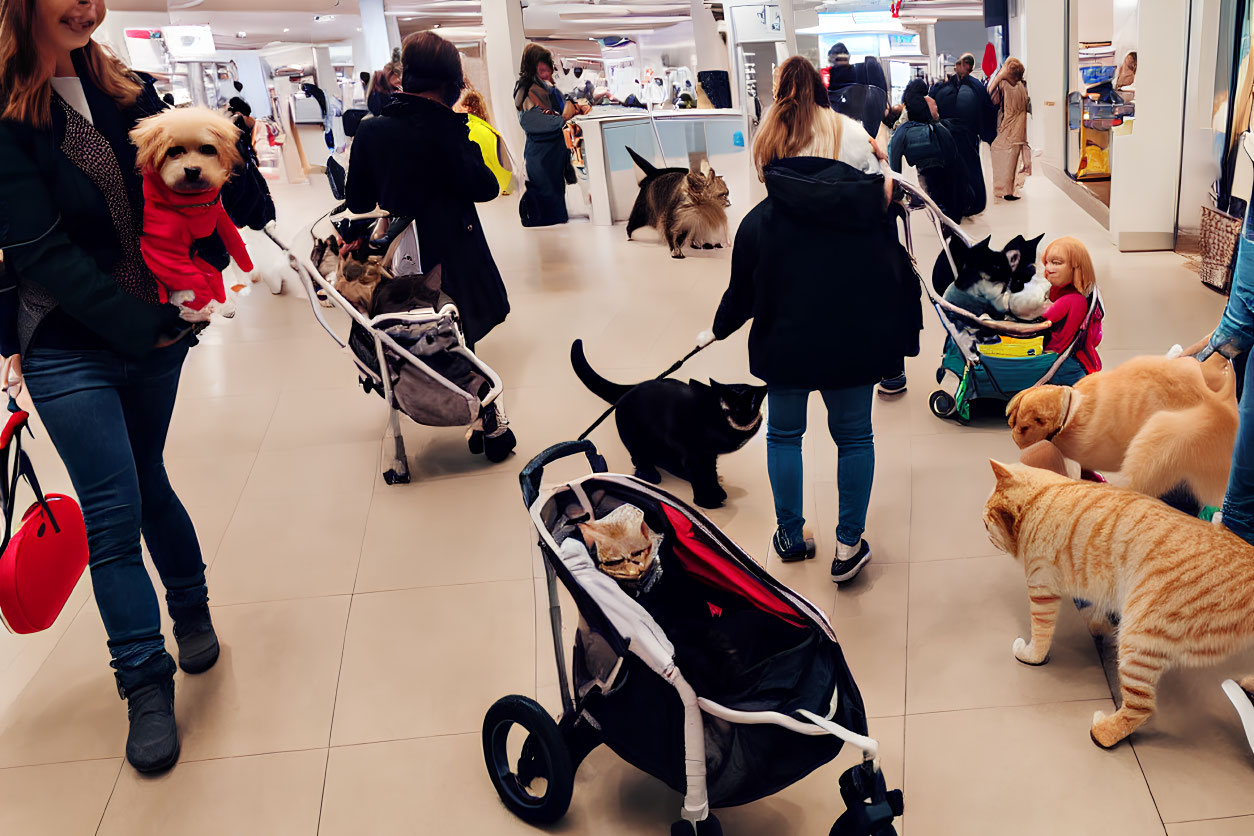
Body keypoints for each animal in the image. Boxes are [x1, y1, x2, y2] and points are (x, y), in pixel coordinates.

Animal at [129, 105, 252, 320]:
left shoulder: (221, 218)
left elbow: (237, 250)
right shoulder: (173, 245)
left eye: (208, 149)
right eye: (173, 151)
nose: (192, 170)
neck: (193, 203)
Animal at [571, 340, 762, 511]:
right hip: (634, 437)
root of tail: (630, 388)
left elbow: (708, 472)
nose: (750, 422)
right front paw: (709, 500)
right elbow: (702, 475)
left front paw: (715, 491)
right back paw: (649, 475)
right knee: (640, 457)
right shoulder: (696, 455)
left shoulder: (706, 455)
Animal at [978, 461, 1254, 747]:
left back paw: (1102, 732)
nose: (982, 531)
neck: (1043, 497)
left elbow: (1040, 636)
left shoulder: (1041, 589)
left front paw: (1031, 655)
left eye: (986, 524)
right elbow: (1095, 612)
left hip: (1136, 640)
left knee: (1141, 708)